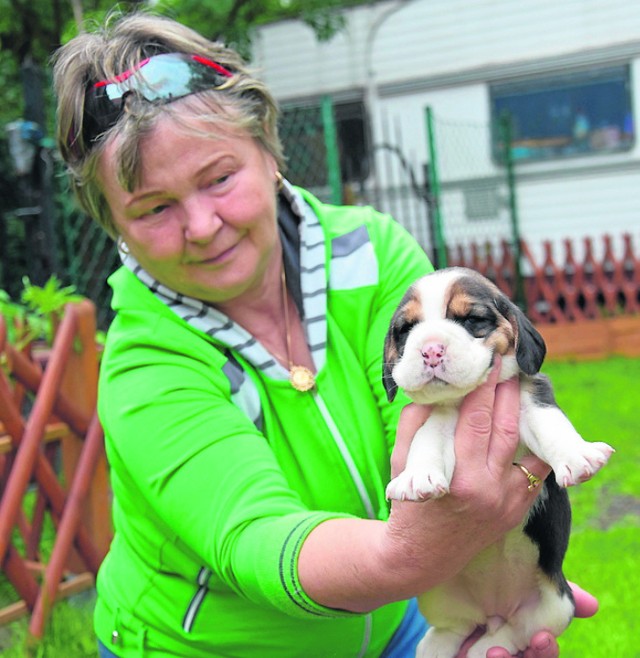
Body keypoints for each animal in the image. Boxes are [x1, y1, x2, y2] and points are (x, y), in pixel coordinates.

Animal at [382, 266, 612, 656]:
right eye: (407, 329)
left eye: (472, 320)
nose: (430, 350)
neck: (464, 400)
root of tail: (492, 611)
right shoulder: (438, 416)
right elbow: (427, 438)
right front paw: (417, 477)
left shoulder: (531, 392)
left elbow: (550, 423)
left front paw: (577, 455)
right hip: (436, 593)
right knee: (455, 628)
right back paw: (436, 647)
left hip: (555, 606)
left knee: (514, 631)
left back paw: (484, 647)